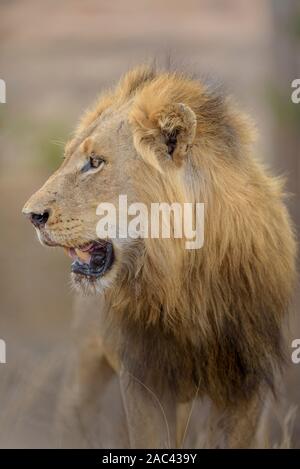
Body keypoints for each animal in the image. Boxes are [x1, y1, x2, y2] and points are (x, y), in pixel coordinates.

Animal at [22, 65, 296, 446]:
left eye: (95, 162)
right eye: (68, 159)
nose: (31, 215)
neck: (185, 276)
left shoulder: (246, 383)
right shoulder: (145, 378)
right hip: (84, 366)